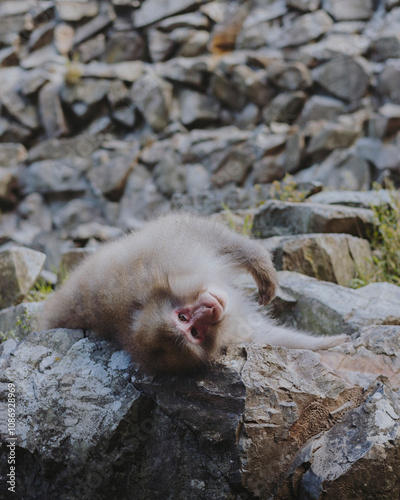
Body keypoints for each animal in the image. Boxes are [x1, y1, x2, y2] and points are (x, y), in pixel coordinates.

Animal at [39, 213, 348, 374]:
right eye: (194, 331)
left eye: (184, 318)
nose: (209, 310)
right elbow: (264, 336)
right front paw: (328, 344)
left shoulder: (162, 255)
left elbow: (213, 238)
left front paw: (262, 268)